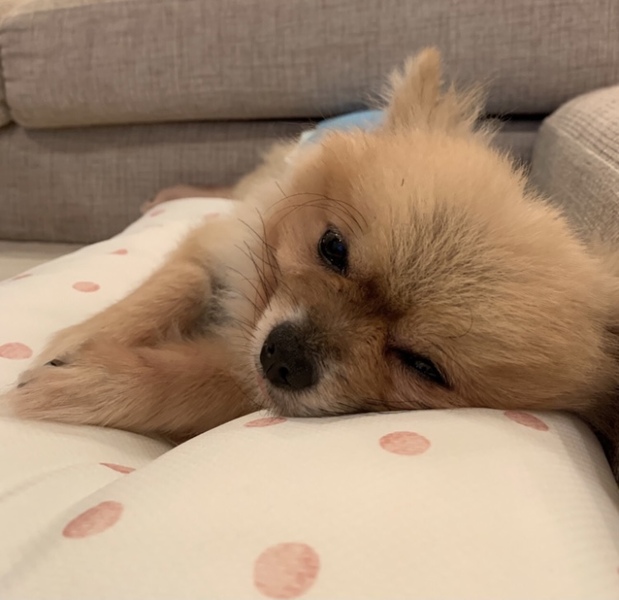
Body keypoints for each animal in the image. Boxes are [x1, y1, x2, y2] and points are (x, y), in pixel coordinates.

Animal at [7, 49, 619, 477]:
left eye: (423, 367)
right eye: (333, 249)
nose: (284, 357)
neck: (249, 312)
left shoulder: (248, 381)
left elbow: (207, 380)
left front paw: (93, 380)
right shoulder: (223, 241)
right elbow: (183, 279)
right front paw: (84, 335)